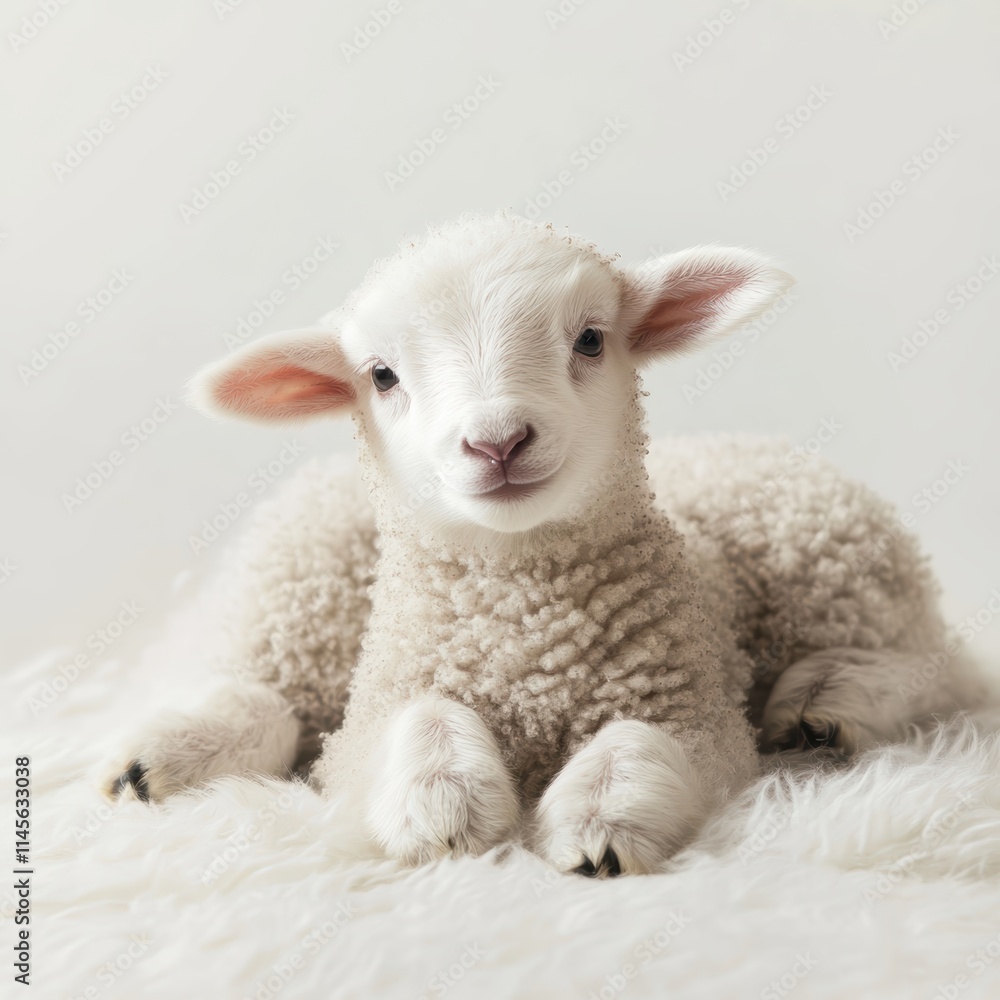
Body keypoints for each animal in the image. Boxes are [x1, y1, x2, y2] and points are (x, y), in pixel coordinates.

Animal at [102, 213, 982, 876]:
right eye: (381, 375)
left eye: (591, 340)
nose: (497, 441)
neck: (524, 622)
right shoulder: (371, 712)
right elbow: (415, 717)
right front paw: (444, 804)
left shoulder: (695, 707)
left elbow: (641, 739)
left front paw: (598, 820)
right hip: (293, 605)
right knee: (267, 697)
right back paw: (157, 759)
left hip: (841, 581)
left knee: (943, 669)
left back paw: (826, 702)